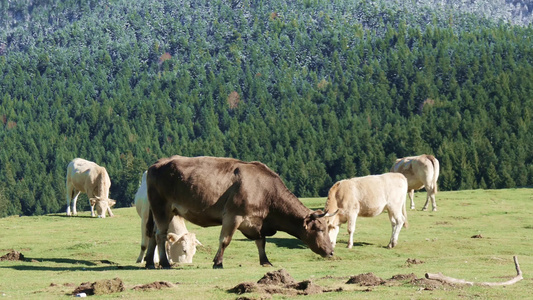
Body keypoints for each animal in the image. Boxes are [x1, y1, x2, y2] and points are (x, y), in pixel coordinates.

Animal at [144, 156, 336, 268]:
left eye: (328, 229)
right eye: (320, 229)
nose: (331, 252)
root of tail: (157, 163)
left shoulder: (256, 222)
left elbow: (261, 242)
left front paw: (265, 261)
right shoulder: (233, 216)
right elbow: (225, 240)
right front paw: (218, 262)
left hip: (157, 211)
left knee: (152, 234)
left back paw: (149, 262)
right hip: (161, 208)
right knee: (160, 235)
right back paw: (164, 263)